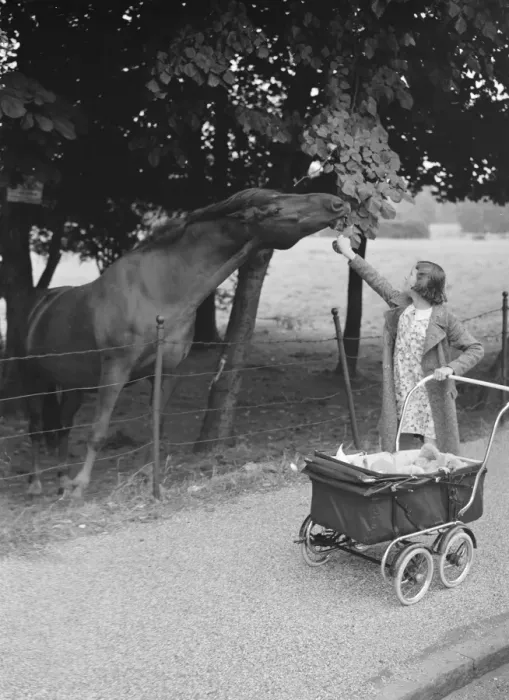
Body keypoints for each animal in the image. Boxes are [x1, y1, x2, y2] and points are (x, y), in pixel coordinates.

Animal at [16, 187, 350, 498]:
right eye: (275, 209)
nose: (337, 203)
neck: (157, 292)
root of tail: (39, 306)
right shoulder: (115, 370)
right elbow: (98, 431)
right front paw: (81, 487)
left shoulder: (168, 372)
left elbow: (157, 426)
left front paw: (150, 479)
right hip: (34, 380)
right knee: (36, 427)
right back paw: (36, 485)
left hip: (74, 385)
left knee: (62, 427)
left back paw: (61, 480)